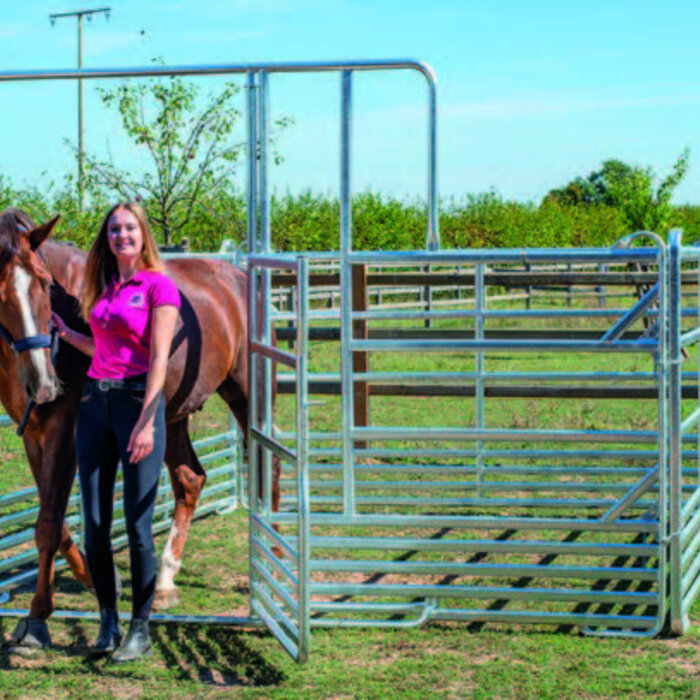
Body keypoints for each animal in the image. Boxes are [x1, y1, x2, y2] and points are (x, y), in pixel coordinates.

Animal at [0, 208, 278, 652]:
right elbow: (55, 520)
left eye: (43, 283)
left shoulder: (63, 431)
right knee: (190, 481)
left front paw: (38, 619)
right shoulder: (32, 435)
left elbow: (47, 524)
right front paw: (97, 579)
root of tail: (238, 277)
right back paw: (163, 581)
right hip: (171, 416)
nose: (42, 384)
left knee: (272, 471)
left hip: (248, 397)